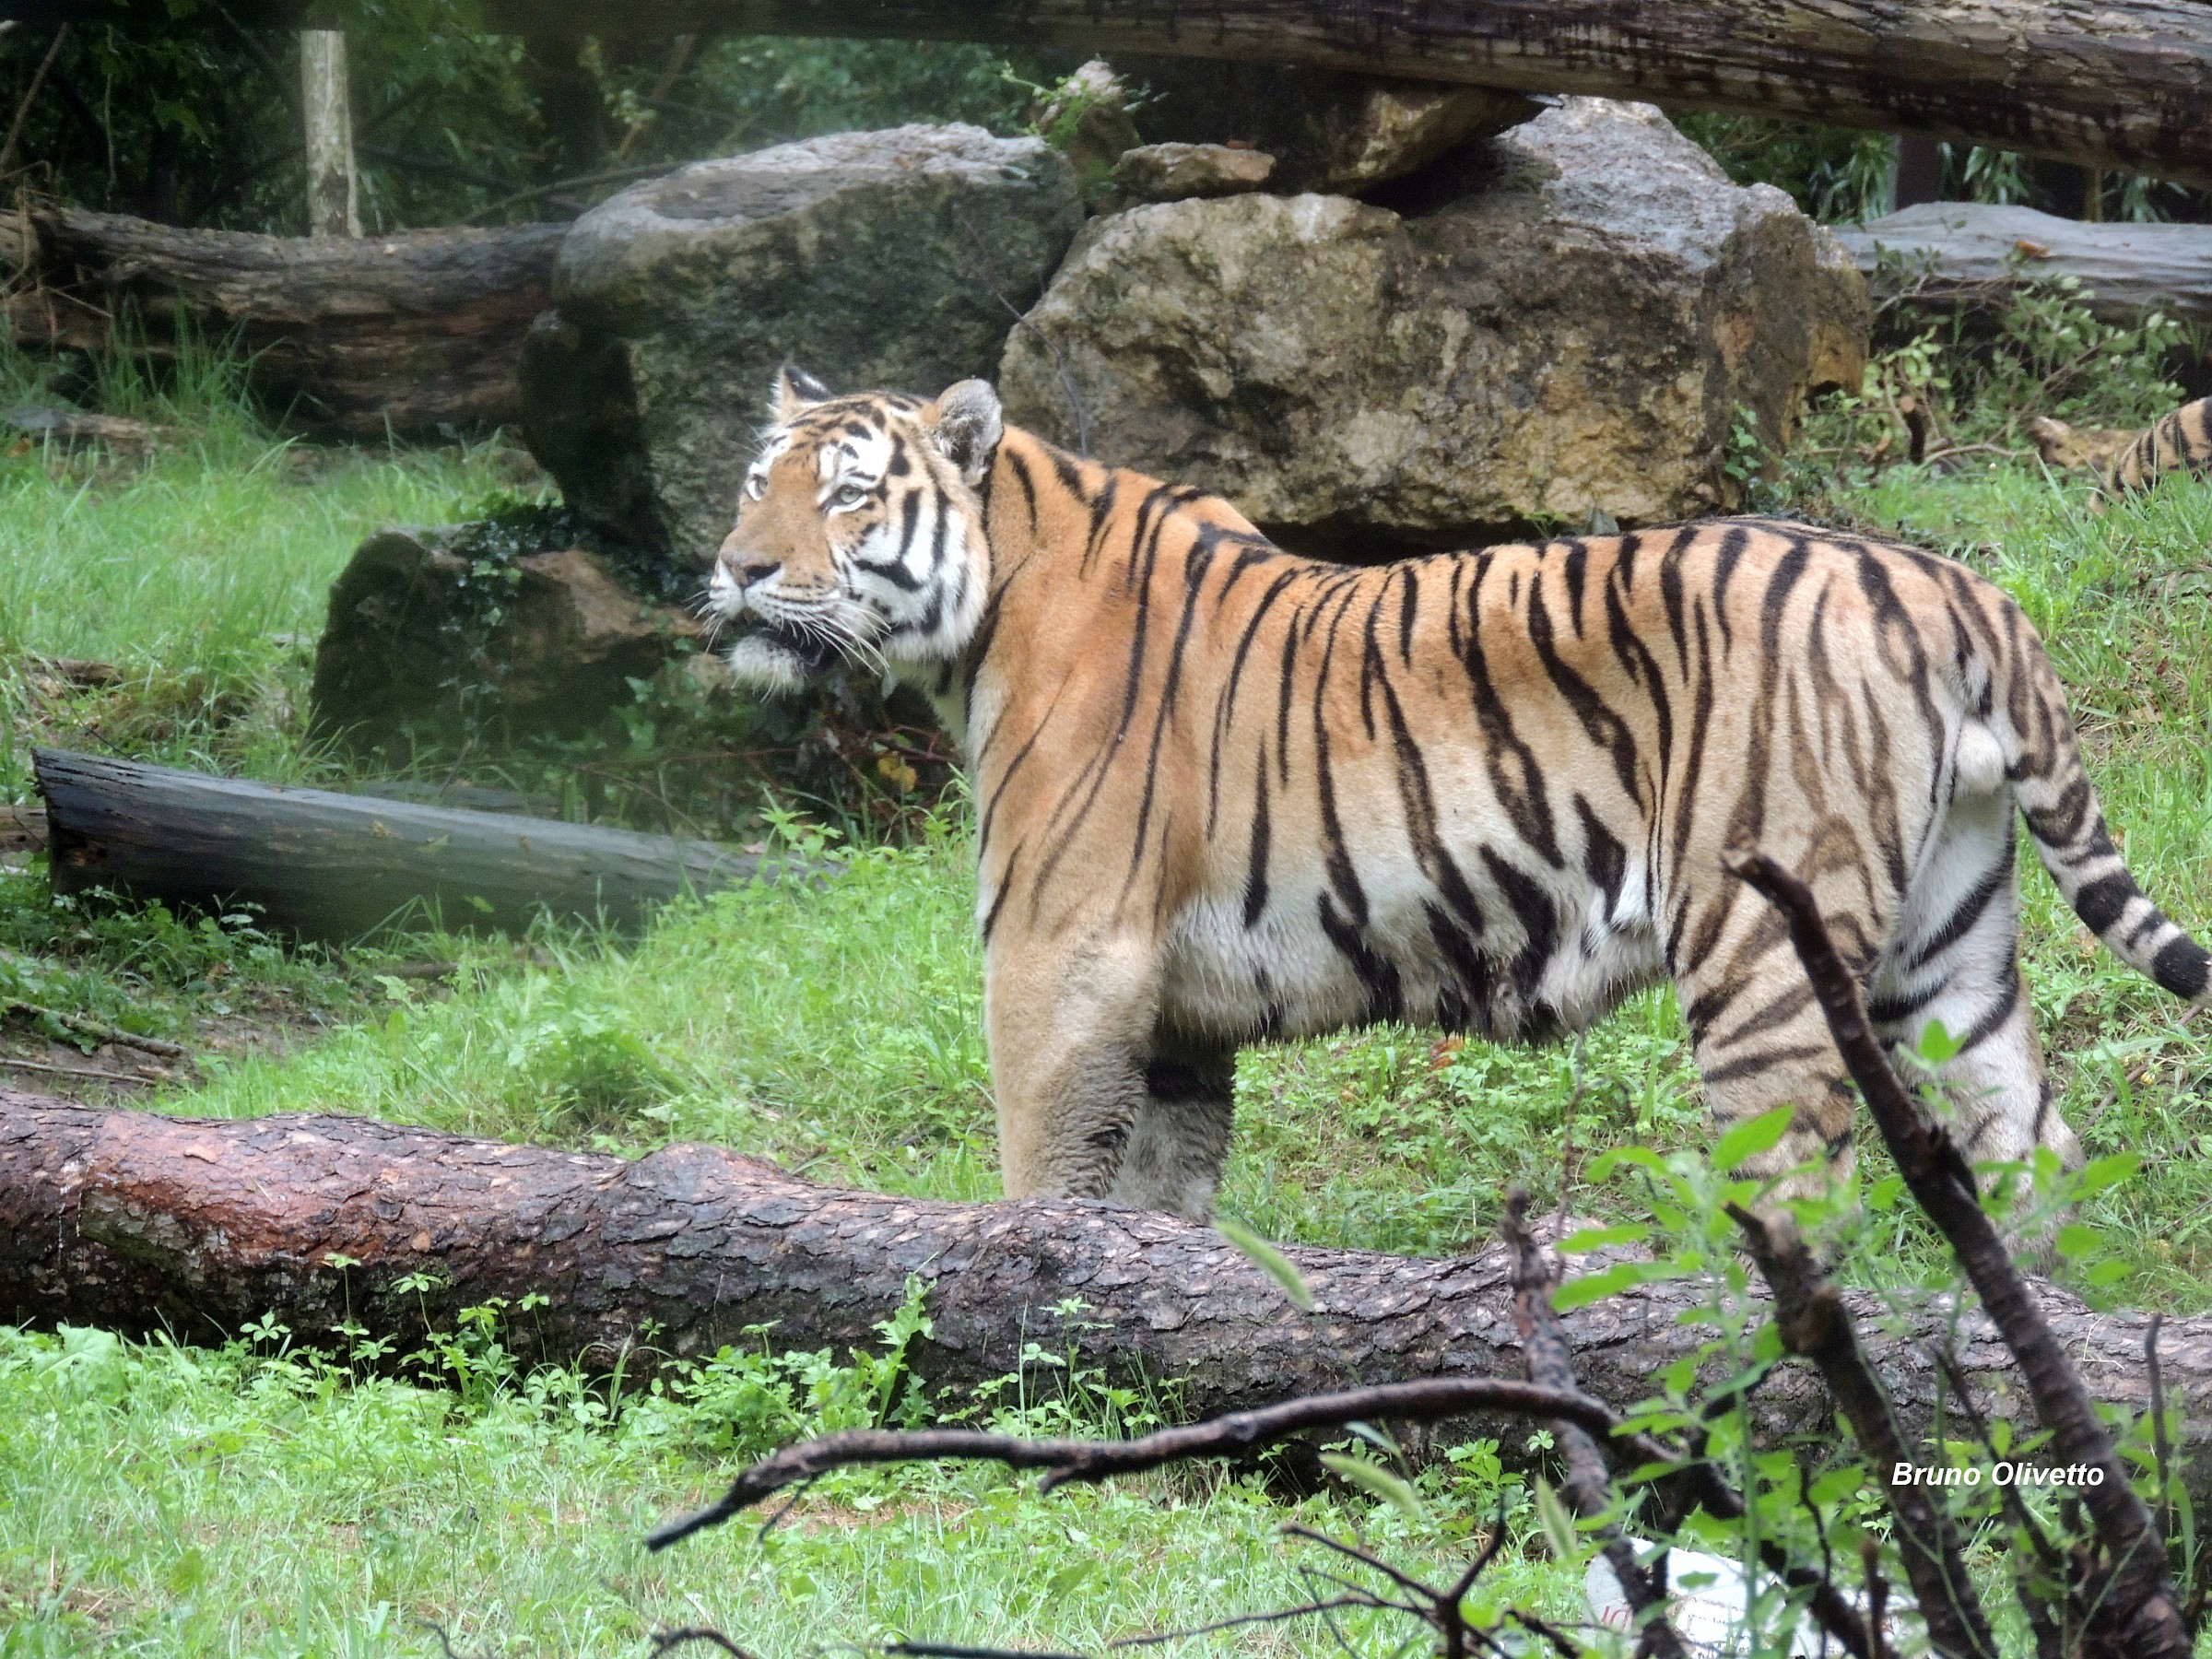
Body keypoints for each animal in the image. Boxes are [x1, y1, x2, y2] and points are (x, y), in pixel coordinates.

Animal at [706, 367, 2212, 1223]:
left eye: (846, 497)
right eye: (752, 484)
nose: (734, 570)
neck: (982, 615)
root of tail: (1948, 583)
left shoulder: (1059, 956)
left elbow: (1039, 1176)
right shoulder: (1176, 1011)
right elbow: (1161, 1199)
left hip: (1761, 945)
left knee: (1807, 1176)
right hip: (1946, 940)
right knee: (2034, 1140)